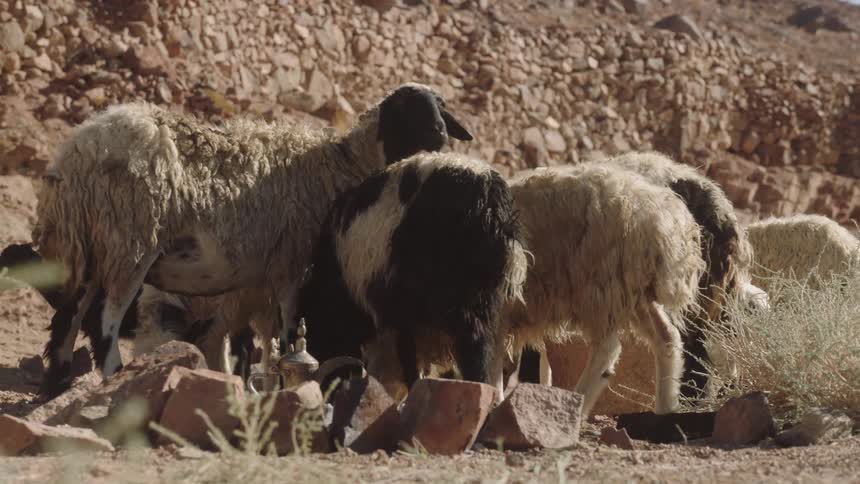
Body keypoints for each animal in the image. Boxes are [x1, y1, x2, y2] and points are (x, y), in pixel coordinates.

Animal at [31, 82, 473, 398]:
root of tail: (78, 152)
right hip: (131, 240)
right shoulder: (292, 265)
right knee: (106, 319)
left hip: (91, 246)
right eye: (403, 111)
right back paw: (114, 375)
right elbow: (289, 333)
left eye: (441, 109)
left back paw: (58, 380)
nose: (439, 135)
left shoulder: (261, 283)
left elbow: (259, 340)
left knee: (69, 315)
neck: (338, 166)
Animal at [296, 152, 528, 402]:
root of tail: (489, 199)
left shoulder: (399, 314)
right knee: (479, 356)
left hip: (456, 302)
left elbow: (409, 362)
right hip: (482, 302)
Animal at [501, 164, 705, 417]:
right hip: (633, 293)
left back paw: (578, 405)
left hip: (601, 288)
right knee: (666, 337)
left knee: (607, 350)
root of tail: (663, 219)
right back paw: (666, 406)